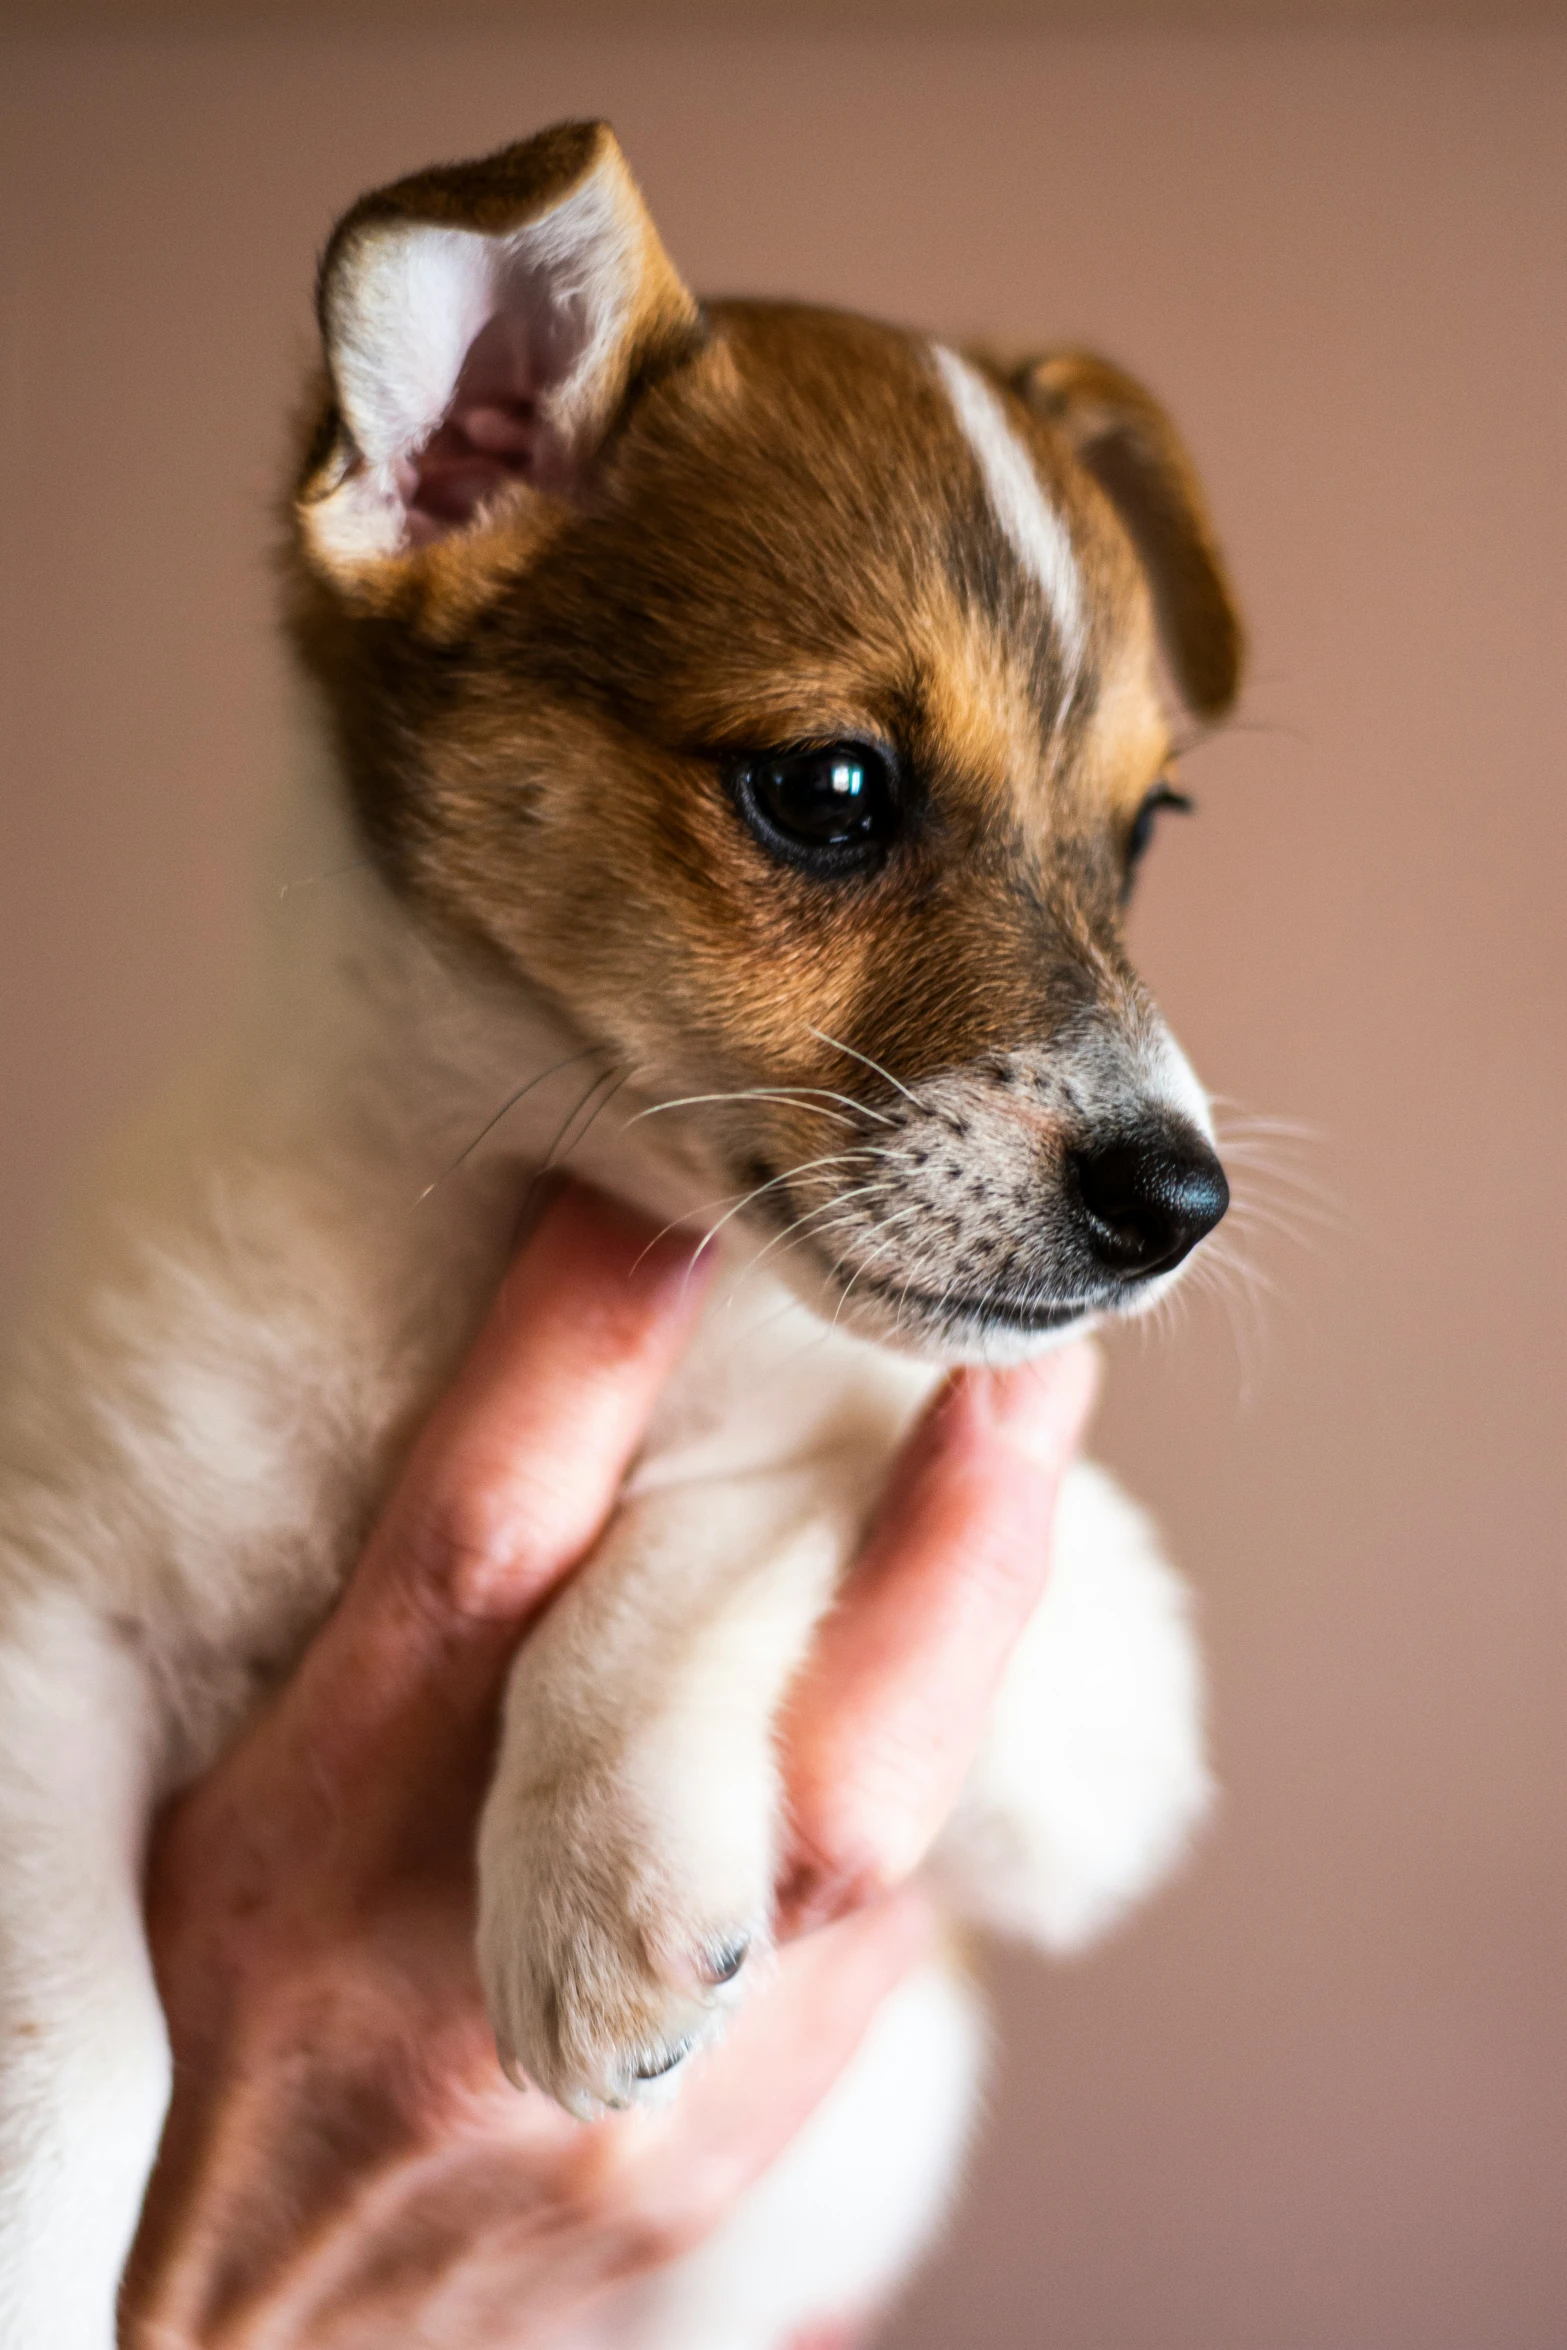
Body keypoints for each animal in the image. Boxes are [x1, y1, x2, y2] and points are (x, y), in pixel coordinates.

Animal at [0, 119, 1240, 2340]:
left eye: (1142, 834)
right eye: (830, 789)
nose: (1181, 1202)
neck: (476, 1242)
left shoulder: (1095, 1692)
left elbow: (711, 1503)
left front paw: (600, 1883)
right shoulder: (51, 1598)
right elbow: (70, 2036)